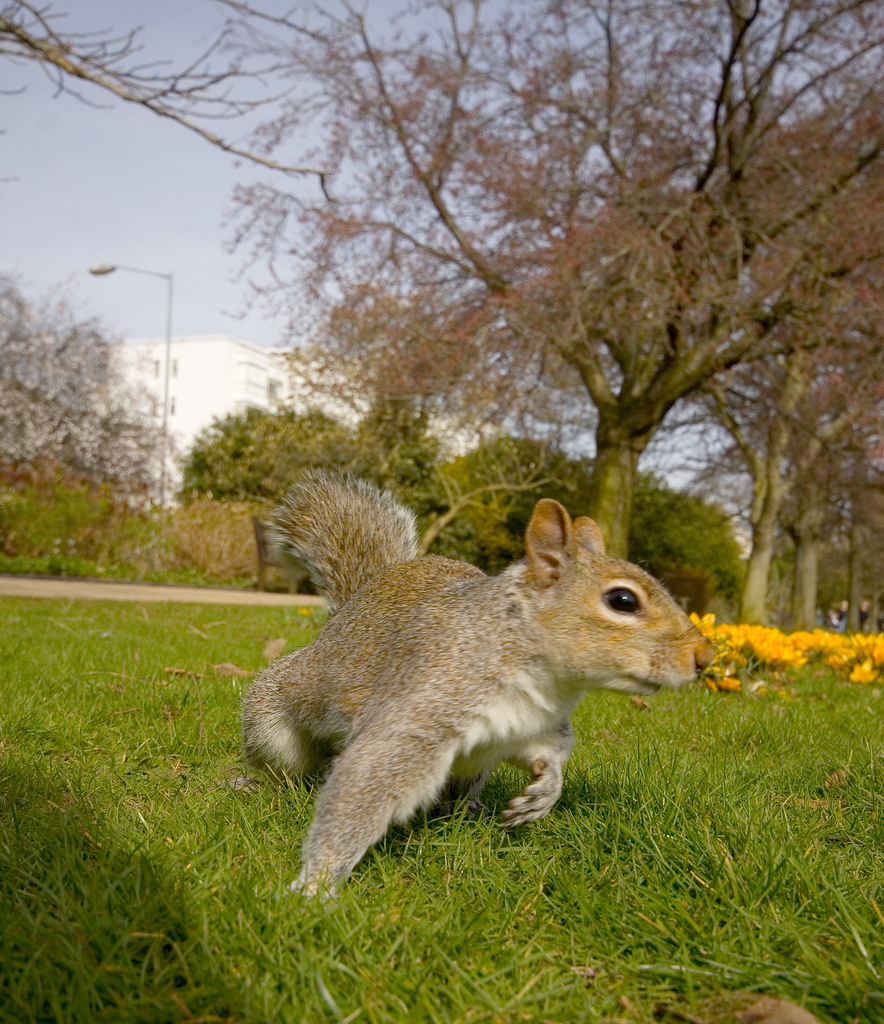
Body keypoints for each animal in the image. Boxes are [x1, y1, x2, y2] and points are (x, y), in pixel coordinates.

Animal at [240, 472, 715, 895]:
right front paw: (315, 885)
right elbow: (365, 780)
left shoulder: (530, 726)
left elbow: (551, 752)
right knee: (285, 766)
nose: (706, 658)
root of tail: (351, 607)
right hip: (279, 722)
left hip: (473, 768)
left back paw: (468, 808)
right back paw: (254, 783)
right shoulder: (424, 707)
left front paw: (545, 792)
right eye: (623, 600)